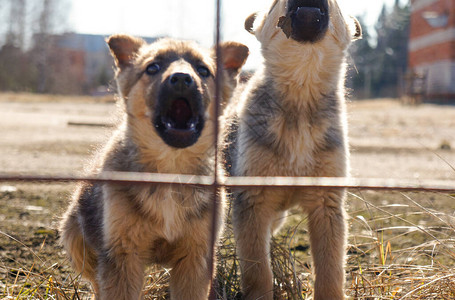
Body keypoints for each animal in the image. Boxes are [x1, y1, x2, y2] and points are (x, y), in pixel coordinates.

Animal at [59, 35, 249, 300]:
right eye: (152, 68)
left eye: (203, 70)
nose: (182, 79)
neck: (170, 170)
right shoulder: (122, 254)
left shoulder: (195, 257)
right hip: (76, 242)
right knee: (96, 283)